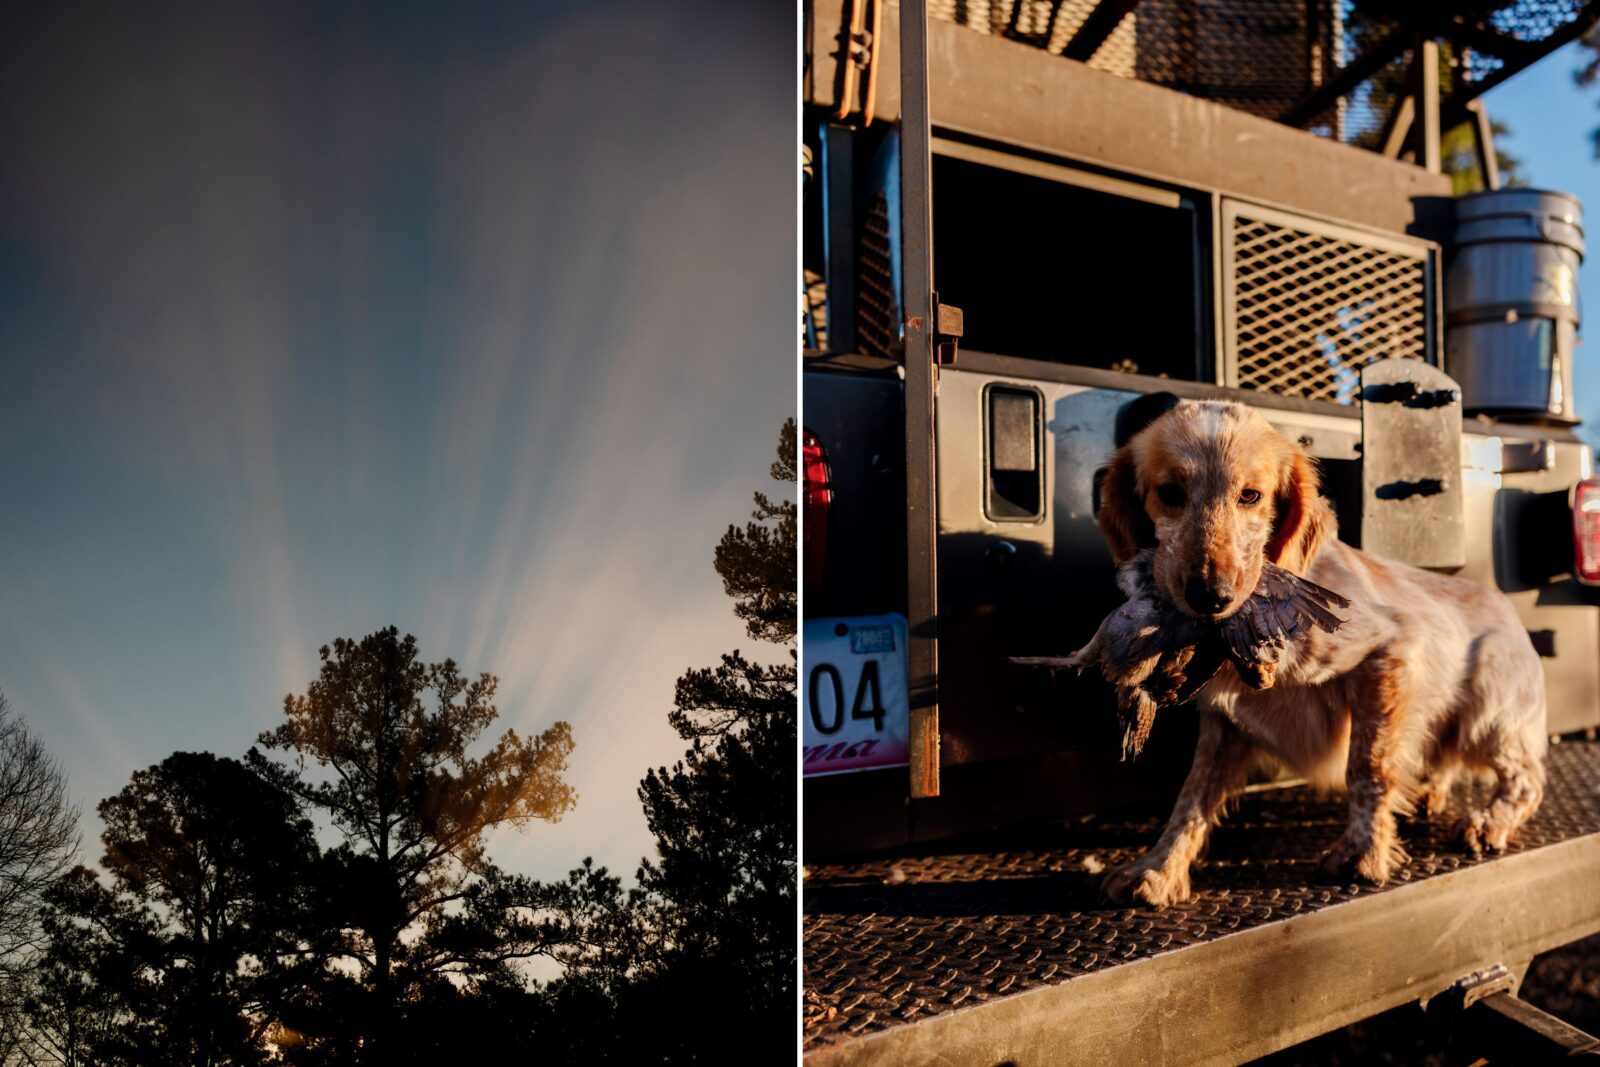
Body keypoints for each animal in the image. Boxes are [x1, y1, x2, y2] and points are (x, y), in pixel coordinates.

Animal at [1094, 396, 1542, 908]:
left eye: (1251, 495)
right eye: (1169, 492)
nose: (1211, 596)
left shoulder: (1391, 650)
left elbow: (1368, 768)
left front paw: (1363, 852)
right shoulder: (1225, 724)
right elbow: (1191, 799)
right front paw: (1159, 868)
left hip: (1488, 713)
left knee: (1528, 780)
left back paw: (1488, 821)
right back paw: (1429, 791)